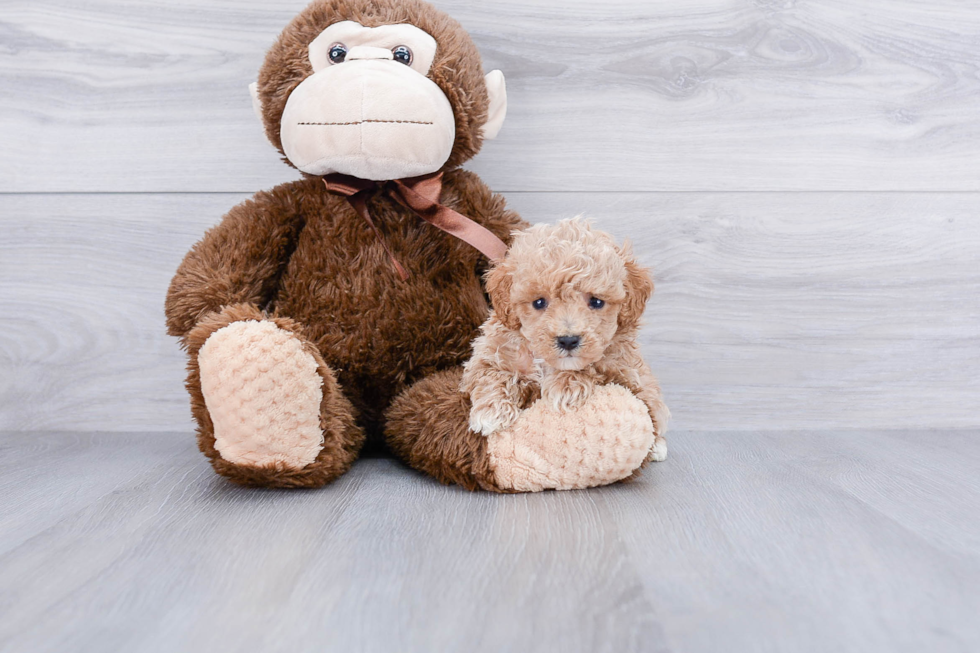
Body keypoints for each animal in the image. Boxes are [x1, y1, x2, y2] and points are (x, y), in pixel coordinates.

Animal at [464, 216, 668, 460]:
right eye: (539, 302)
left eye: (596, 302)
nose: (568, 340)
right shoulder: (490, 354)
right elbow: (492, 375)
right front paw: (491, 411)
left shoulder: (624, 369)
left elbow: (595, 366)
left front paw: (566, 386)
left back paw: (657, 446)